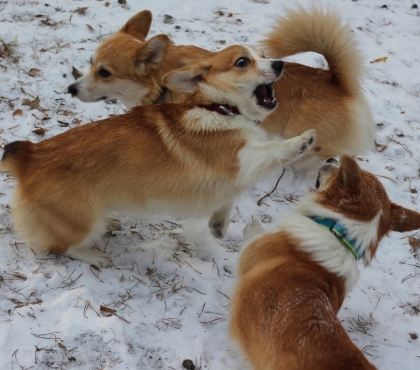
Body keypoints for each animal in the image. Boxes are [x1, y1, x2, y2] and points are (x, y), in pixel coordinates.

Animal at [0, 44, 316, 268]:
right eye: (242, 62)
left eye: (263, 55)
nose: (279, 64)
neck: (219, 107)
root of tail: (29, 156)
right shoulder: (241, 159)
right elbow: (272, 151)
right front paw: (303, 140)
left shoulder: (229, 177)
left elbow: (229, 198)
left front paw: (218, 225)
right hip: (79, 221)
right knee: (61, 245)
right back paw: (94, 256)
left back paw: (109, 221)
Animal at [228, 156, 420, 370]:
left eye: (339, 175)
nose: (331, 158)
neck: (340, 235)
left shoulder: (250, 252)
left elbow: (252, 234)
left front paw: (251, 225)